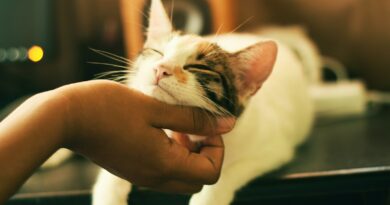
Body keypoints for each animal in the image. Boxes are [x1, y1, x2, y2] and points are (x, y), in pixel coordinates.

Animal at [92, 0, 316, 205]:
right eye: (157, 52)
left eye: (197, 67)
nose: (161, 68)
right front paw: (108, 195)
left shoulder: (272, 149)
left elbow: (226, 174)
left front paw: (208, 198)